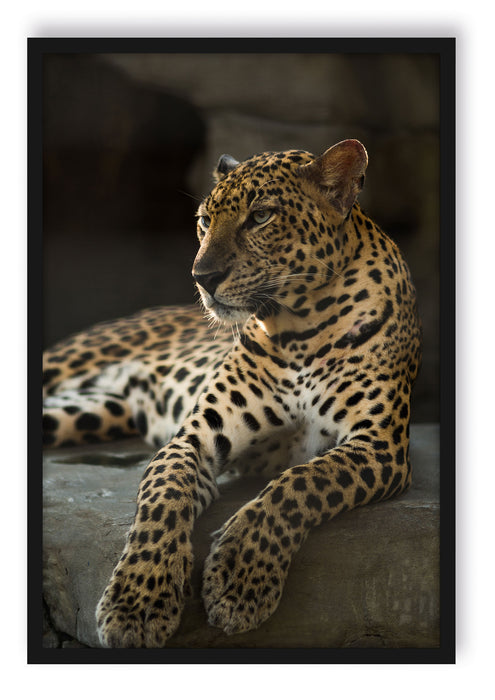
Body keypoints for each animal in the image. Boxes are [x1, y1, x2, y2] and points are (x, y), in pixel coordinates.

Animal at [42, 139, 422, 648]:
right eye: (205, 220)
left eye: (260, 217)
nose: (202, 277)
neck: (299, 327)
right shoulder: (194, 438)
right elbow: (163, 497)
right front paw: (137, 602)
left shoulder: (378, 445)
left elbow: (300, 484)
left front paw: (240, 578)